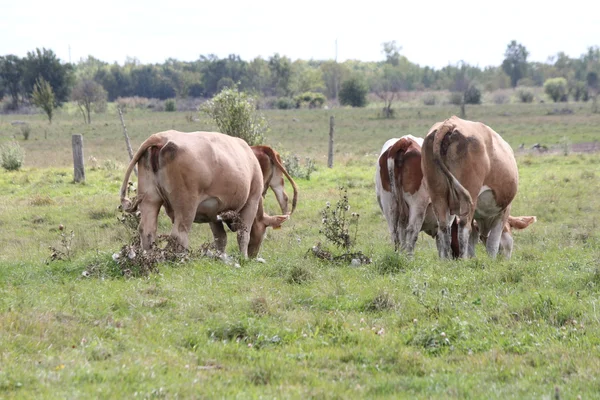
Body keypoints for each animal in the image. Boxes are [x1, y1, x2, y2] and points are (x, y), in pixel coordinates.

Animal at [119, 130, 288, 258]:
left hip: (150, 199)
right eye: (264, 231)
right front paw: (243, 258)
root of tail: (161, 137)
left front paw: (221, 257)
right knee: (179, 233)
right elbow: (243, 235)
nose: (253, 255)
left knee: (147, 230)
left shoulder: (213, 212)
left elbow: (221, 238)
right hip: (186, 206)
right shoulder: (251, 202)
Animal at [420, 115, 516, 260]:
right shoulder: (504, 211)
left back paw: (445, 260)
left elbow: (474, 239)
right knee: (463, 226)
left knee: (444, 228)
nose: (507, 259)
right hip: (469, 195)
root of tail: (450, 123)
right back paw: (463, 259)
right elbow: (493, 241)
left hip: (437, 194)